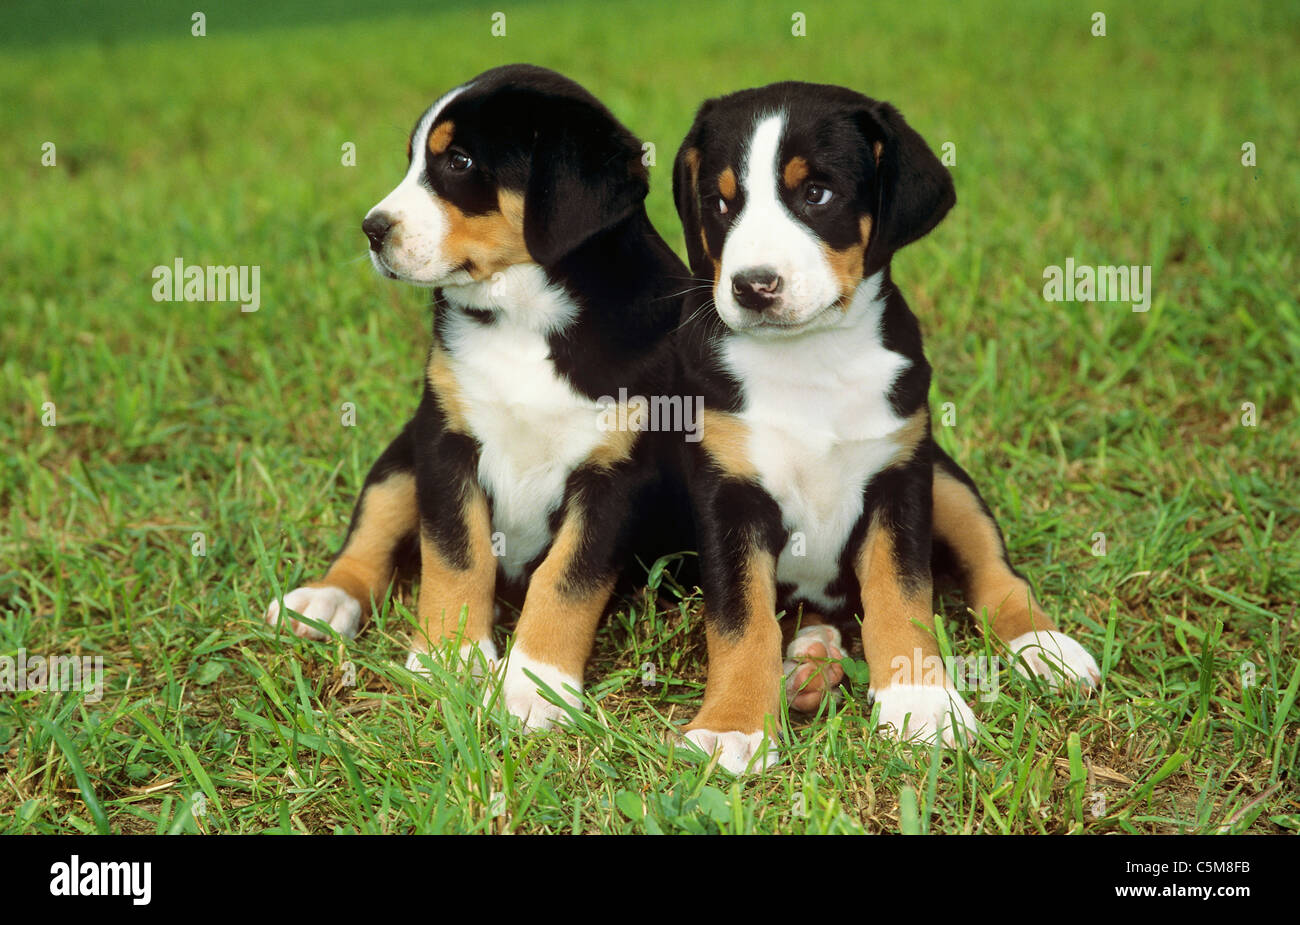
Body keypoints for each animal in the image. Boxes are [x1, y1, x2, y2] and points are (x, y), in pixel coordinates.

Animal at [676, 83, 1102, 774]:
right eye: (719, 202)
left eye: (816, 194)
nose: (753, 286)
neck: (811, 357)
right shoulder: (727, 494)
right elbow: (742, 621)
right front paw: (733, 725)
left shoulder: (898, 479)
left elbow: (902, 599)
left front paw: (920, 705)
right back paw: (810, 663)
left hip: (945, 477)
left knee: (995, 571)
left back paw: (1045, 647)